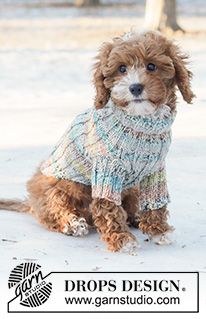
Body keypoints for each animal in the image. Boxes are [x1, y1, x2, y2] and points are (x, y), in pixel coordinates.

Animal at [0, 30, 194, 255]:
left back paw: (135, 217)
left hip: (131, 188)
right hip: (58, 185)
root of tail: (31, 202)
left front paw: (159, 231)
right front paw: (122, 240)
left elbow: (155, 201)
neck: (140, 124)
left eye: (152, 66)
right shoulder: (106, 169)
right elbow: (108, 207)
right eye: (122, 68)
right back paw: (73, 224)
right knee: (52, 210)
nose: (135, 87)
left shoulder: (154, 171)